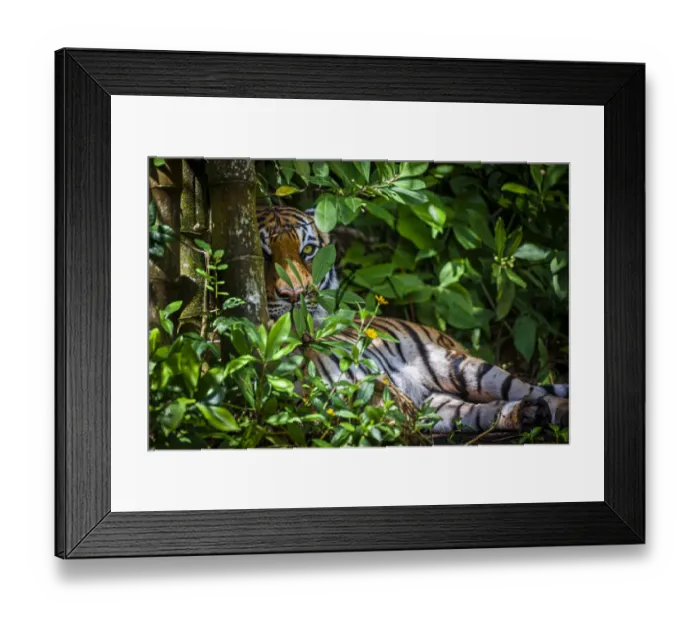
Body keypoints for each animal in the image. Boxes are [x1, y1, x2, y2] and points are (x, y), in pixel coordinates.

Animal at [257, 205, 569, 434]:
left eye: (307, 251)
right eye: (262, 255)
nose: (294, 294)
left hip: (464, 368)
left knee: (535, 392)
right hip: (439, 404)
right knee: (481, 411)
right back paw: (526, 413)